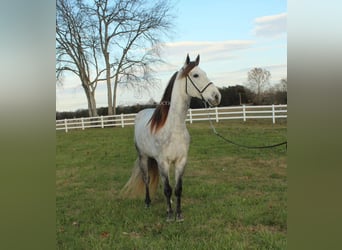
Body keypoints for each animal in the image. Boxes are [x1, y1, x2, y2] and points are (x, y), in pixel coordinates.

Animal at [121, 54, 222, 221]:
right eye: (195, 75)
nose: (216, 96)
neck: (174, 128)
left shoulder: (181, 161)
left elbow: (178, 188)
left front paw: (179, 214)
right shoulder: (163, 161)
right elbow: (168, 188)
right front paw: (169, 215)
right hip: (143, 157)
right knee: (147, 179)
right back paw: (148, 202)